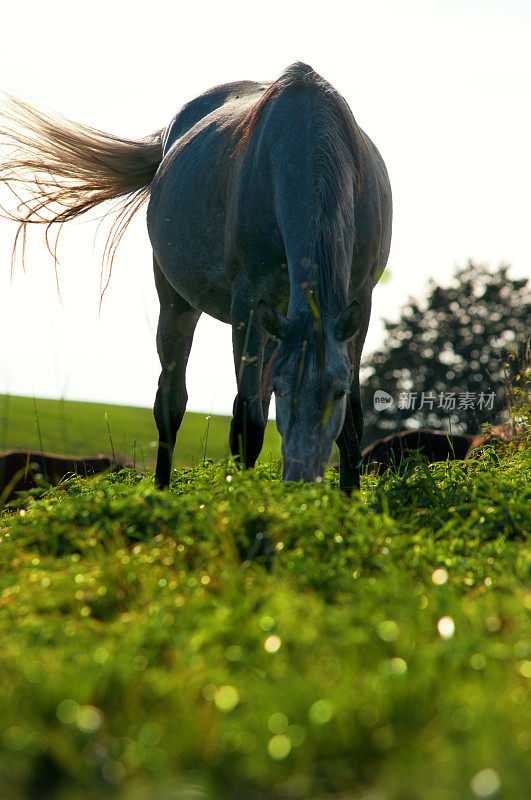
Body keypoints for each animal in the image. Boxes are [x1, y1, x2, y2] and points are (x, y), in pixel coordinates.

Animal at [0, 62, 390, 490]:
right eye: (283, 389)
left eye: (336, 392)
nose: (300, 479)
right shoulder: (248, 306)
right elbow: (248, 422)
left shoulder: (359, 303)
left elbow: (353, 421)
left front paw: (348, 497)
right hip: (177, 304)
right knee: (170, 402)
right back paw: (161, 488)